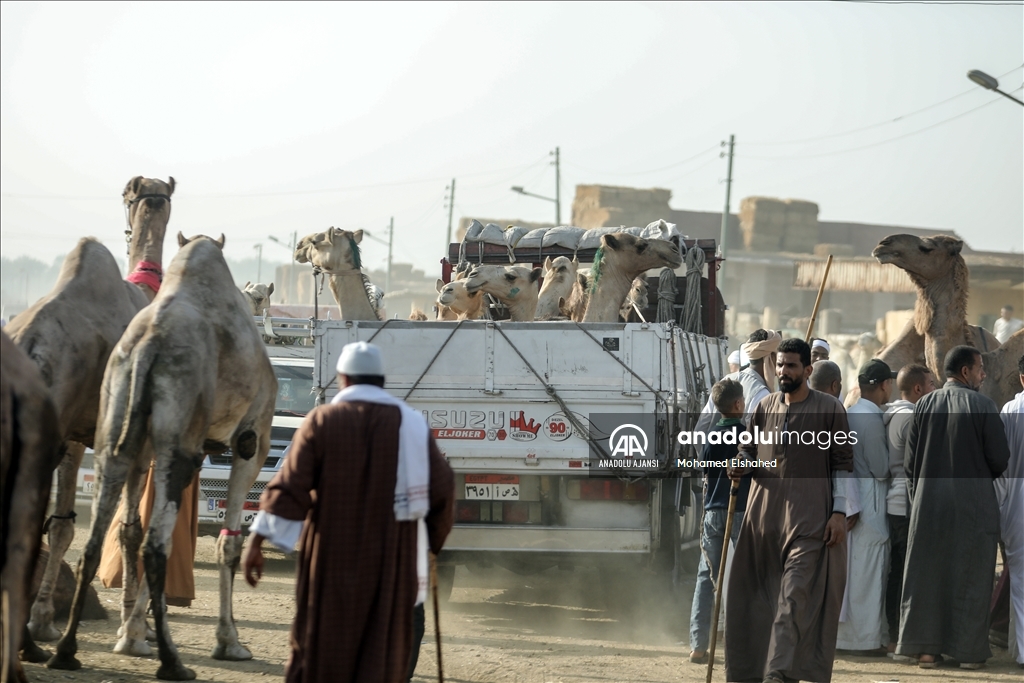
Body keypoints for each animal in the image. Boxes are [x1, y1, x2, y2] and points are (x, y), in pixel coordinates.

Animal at [6, 175, 176, 643]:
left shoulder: (76, 436)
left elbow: (64, 524)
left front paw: (42, 619)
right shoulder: (136, 440)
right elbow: (130, 529)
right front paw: (133, 630)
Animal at [48, 233, 276, 679]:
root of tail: (148, 345)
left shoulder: (198, 447)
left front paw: (132, 634)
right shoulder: (251, 439)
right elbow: (228, 543)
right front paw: (230, 643)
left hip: (115, 431)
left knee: (94, 541)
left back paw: (66, 651)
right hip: (179, 435)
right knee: (155, 546)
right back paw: (173, 663)